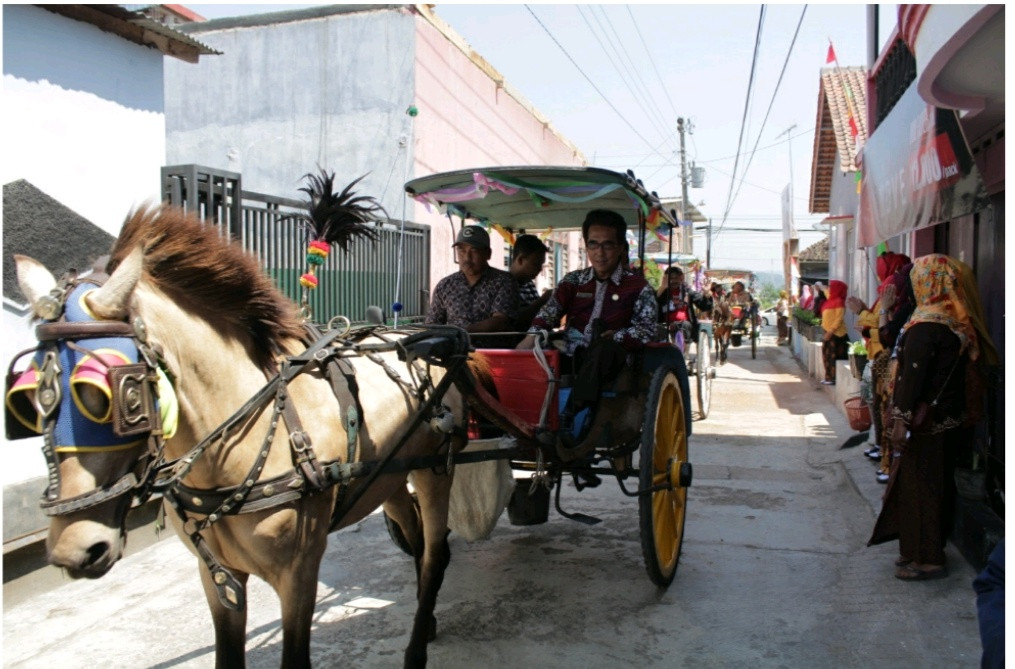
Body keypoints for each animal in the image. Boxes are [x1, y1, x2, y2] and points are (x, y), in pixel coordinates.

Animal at [10, 195, 491, 665]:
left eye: (117, 395)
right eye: (28, 398)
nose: (74, 548)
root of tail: (427, 338)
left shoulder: (298, 574)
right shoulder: (217, 577)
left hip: (434, 472)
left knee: (434, 554)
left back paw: (416, 646)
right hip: (387, 480)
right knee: (416, 540)